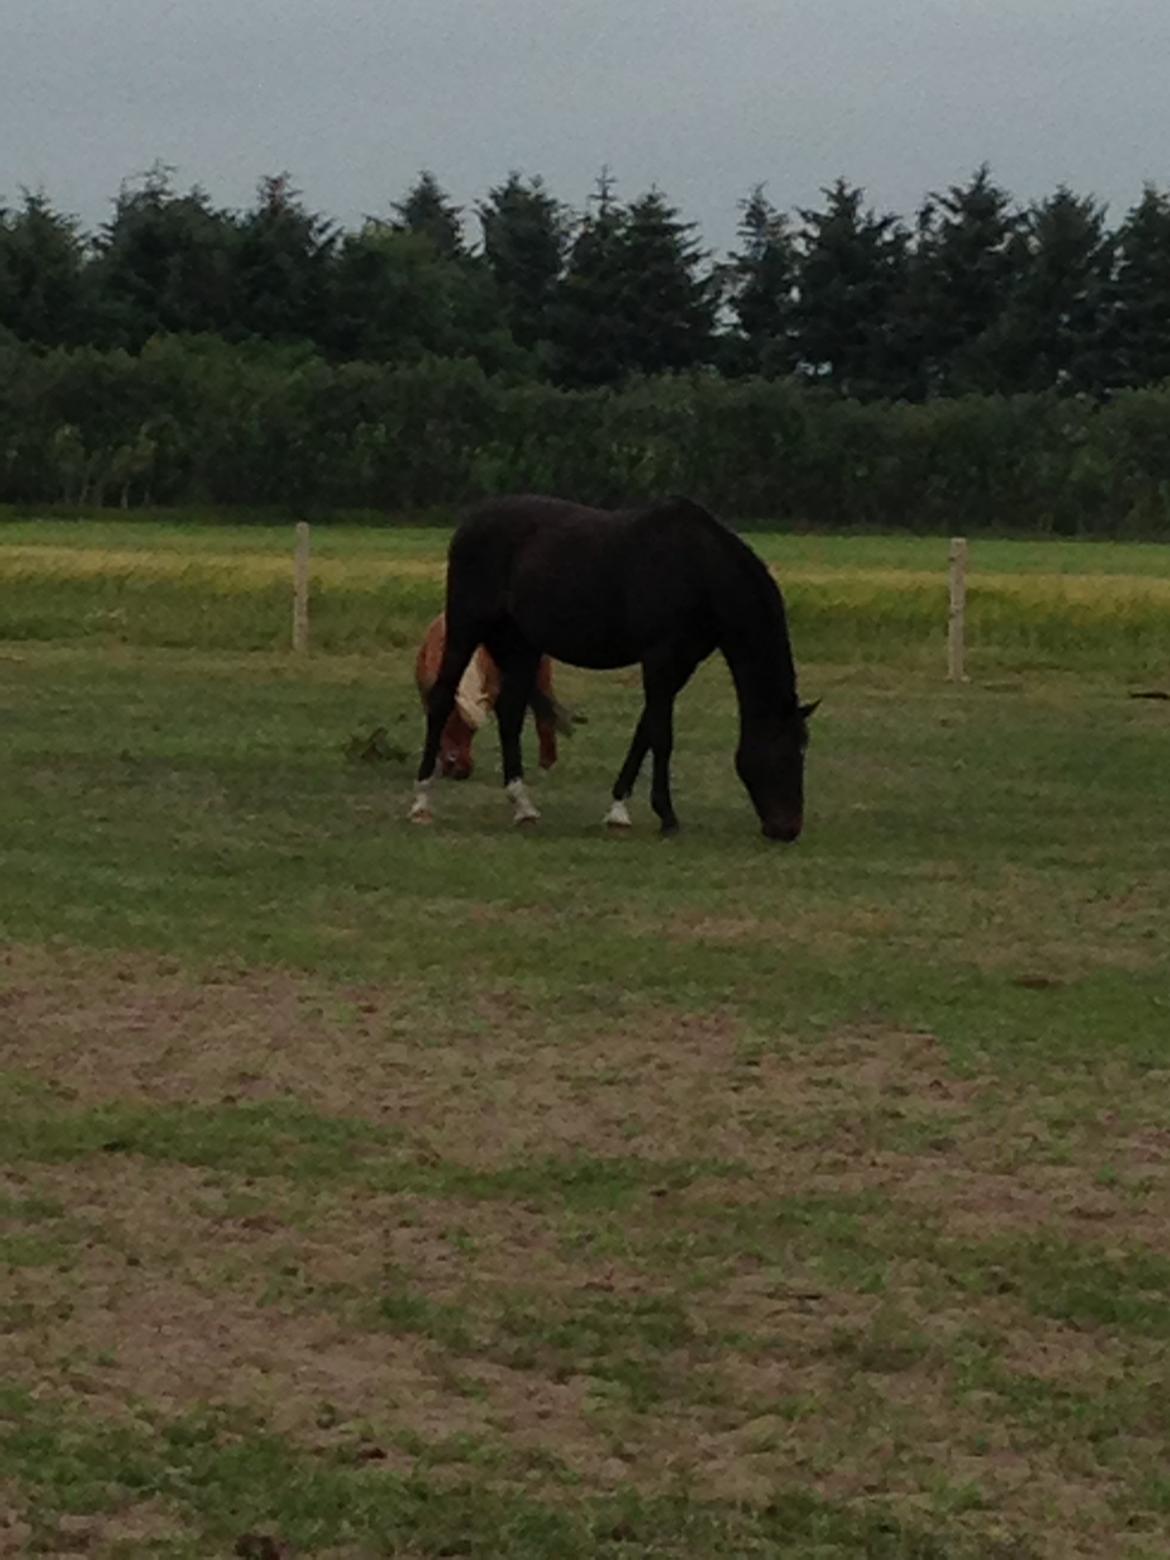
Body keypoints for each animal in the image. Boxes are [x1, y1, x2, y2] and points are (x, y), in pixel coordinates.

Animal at [418, 496, 817, 842]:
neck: (700, 570)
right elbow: (662, 735)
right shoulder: (660, 659)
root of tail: (469, 523)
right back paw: (422, 800)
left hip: (520, 646)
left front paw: (618, 810)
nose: (789, 829)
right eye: (785, 752)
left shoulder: (680, 664)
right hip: (466, 628)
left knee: (510, 712)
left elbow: (645, 731)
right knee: (441, 699)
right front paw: (667, 816)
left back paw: (523, 806)